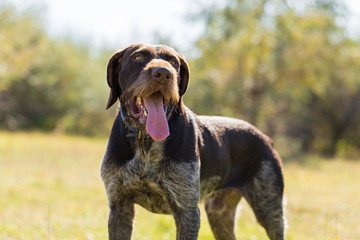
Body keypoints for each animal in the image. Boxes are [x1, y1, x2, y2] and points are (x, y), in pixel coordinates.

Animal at [100, 43, 286, 240]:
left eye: (174, 62)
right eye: (138, 57)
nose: (164, 73)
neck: (146, 143)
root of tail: (266, 138)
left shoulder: (187, 211)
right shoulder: (119, 206)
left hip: (269, 209)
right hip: (219, 214)